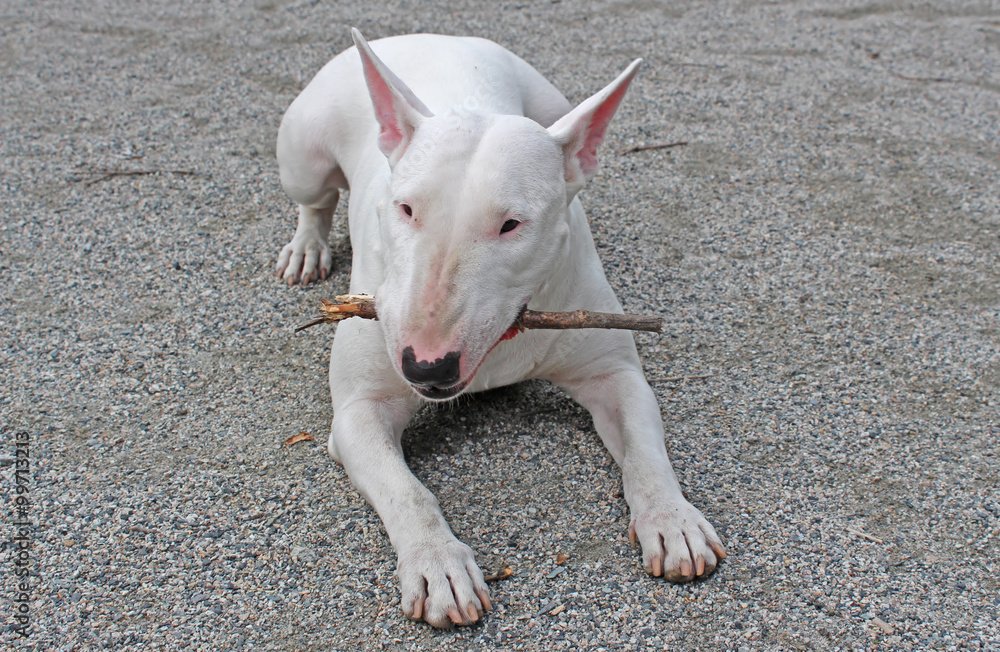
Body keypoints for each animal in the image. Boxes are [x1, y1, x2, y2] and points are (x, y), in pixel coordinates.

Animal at [276, 29, 728, 628]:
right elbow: (406, 491)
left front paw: (673, 519)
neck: (505, 338)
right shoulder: (358, 412)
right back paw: (306, 247)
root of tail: (426, 34)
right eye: (406, 209)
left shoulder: (614, 375)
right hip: (302, 153)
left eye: (512, 224)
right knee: (315, 201)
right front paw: (438, 564)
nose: (426, 366)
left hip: (551, 102)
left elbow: (645, 448)